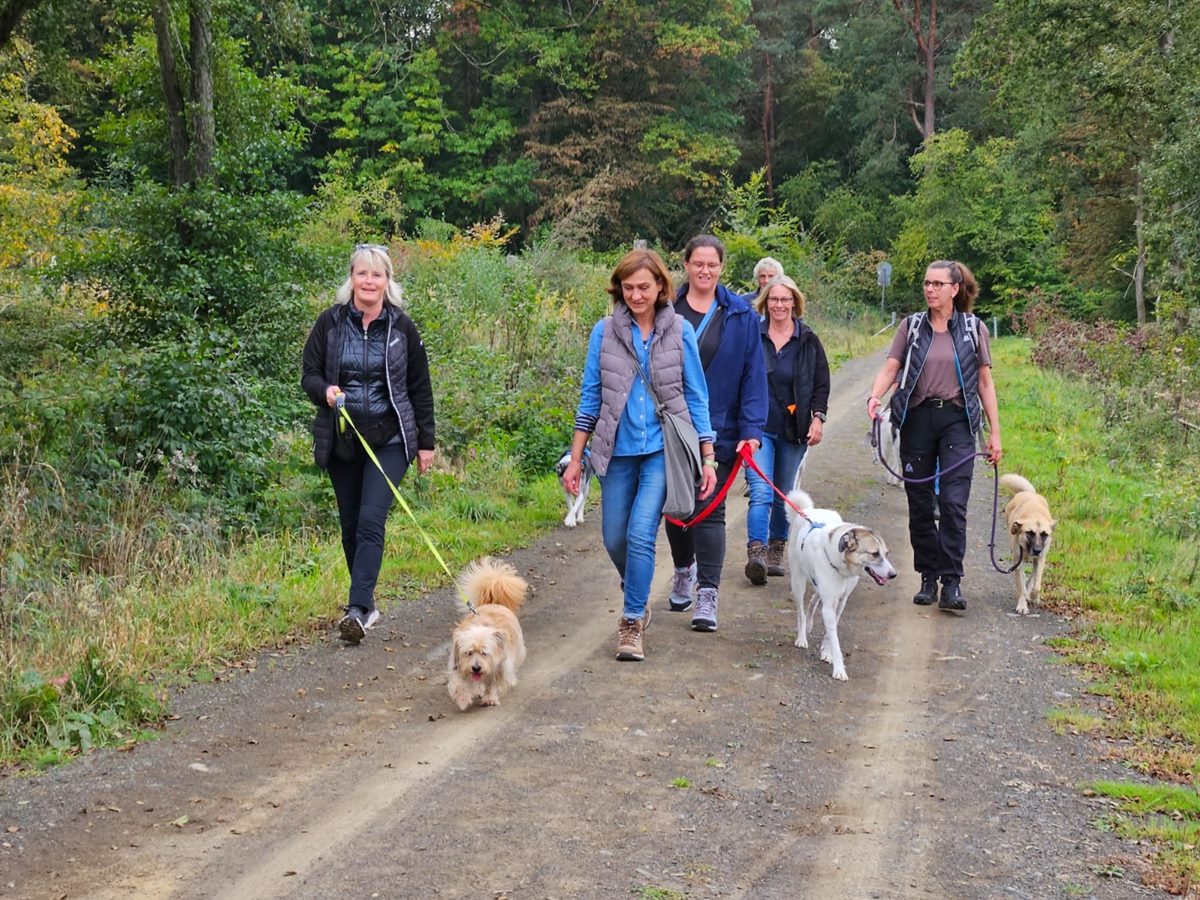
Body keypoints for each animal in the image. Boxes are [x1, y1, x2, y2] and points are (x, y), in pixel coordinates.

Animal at [448, 556, 528, 710]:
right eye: (468, 653)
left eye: (484, 653)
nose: (476, 668)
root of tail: (495, 603)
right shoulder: (459, 664)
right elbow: (459, 683)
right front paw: (463, 698)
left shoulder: (501, 666)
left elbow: (495, 683)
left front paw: (490, 698)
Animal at [782, 494, 897, 681]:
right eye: (874, 554)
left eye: (886, 554)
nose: (893, 575)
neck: (843, 567)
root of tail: (807, 511)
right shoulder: (829, 604)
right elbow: (835, 640)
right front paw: (839, 669)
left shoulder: (841, 601)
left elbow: (831, 631)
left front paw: (826, 652)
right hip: (798, 582)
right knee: (801, 612)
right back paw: (802, 637)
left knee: (813, 599)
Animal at [998, 475, 1056, 619]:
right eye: (1030, 533)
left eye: (1044, 534)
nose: (1037, 550)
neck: (1033, 513)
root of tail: (1029, 493)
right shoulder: (1018, 562)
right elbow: (1021, 586)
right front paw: (1022, 606)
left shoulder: (1041, 559)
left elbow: (1036, 585)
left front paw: (1034, 598)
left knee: (1033, 578)